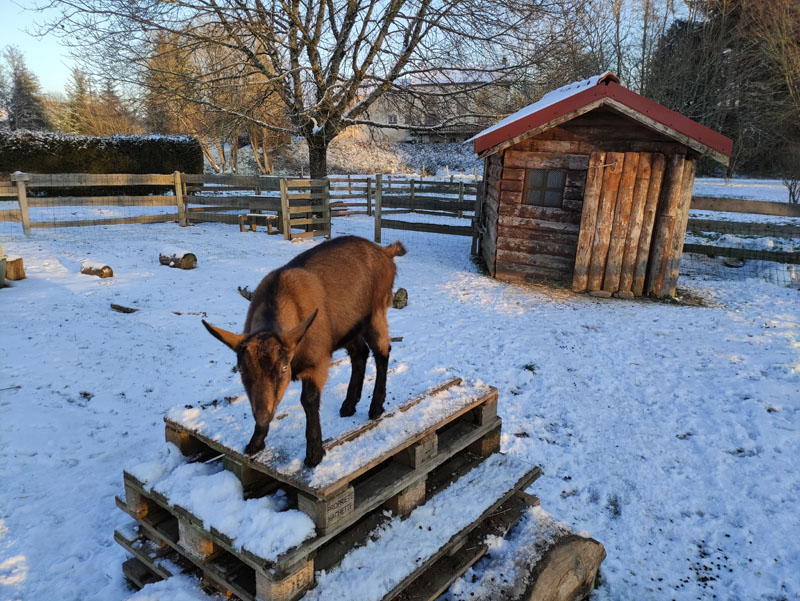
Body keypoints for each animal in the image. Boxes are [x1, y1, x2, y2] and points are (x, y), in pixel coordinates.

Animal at [205, 237, 406, 466]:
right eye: (241, 369)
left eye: (284, 368)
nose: (263, 416)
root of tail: (385, 252)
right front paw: (255, 442)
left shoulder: (316, 361)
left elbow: (308, 401)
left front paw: (314, 454)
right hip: (345, 326)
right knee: (359, 354)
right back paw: (349, 404)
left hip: (375, 312)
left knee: (382, 352)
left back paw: (375, 407)